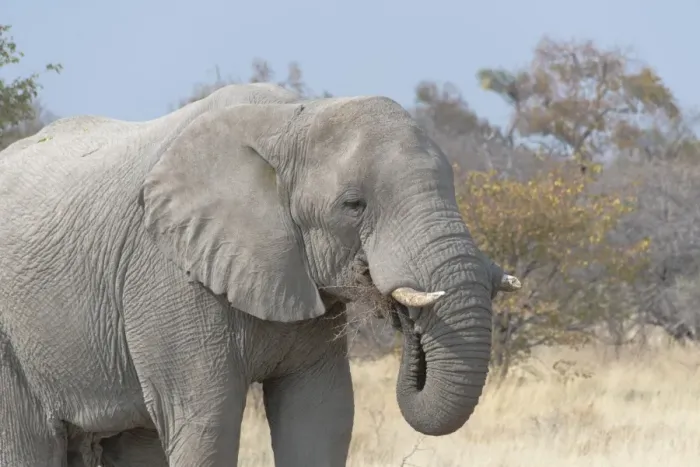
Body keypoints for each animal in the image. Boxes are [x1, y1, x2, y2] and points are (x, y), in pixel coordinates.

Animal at [0, 82, 521, 467]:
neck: (293, 119)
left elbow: (322, 416)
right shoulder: (171, 277)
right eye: (353, 205)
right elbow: (208, 422)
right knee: (30, 444)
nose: (402, 314)